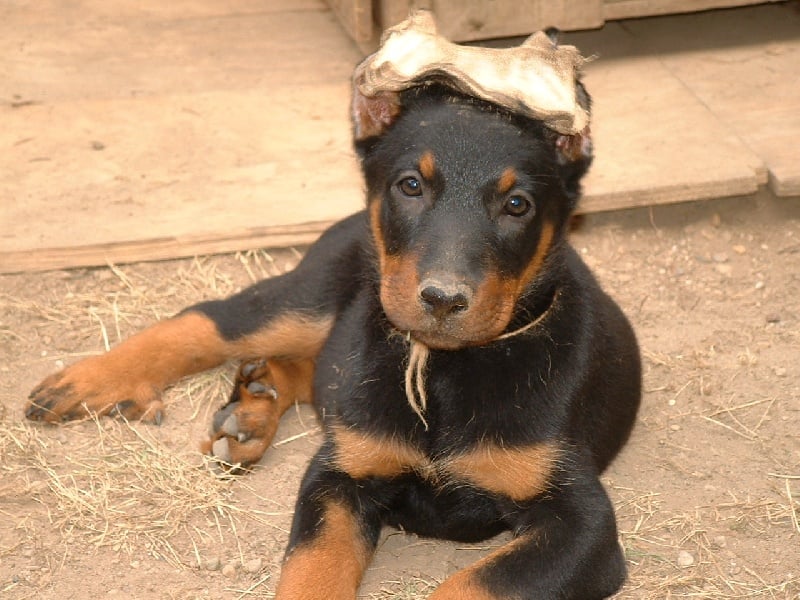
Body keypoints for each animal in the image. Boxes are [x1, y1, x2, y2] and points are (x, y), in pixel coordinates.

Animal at [26, 58, 641, 599]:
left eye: (517, 205)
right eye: (410, 186)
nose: (443, 299)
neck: (439, 368)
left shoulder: (581, 524)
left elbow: (473, 584)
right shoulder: (339, 476)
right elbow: (313, 566)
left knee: (314, 368)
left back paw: (253, 406)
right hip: (310, 297)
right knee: (210, 322)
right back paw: (88, 382)